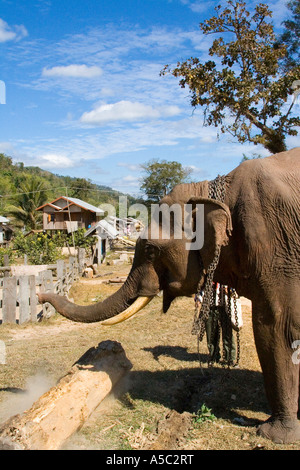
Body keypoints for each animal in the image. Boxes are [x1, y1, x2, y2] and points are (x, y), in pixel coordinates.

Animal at [39, 147, 300, 444]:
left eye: (151, 250)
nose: (41, 295)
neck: (212, 189)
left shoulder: (276, 244)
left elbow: (275, 327)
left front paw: (274, 435)